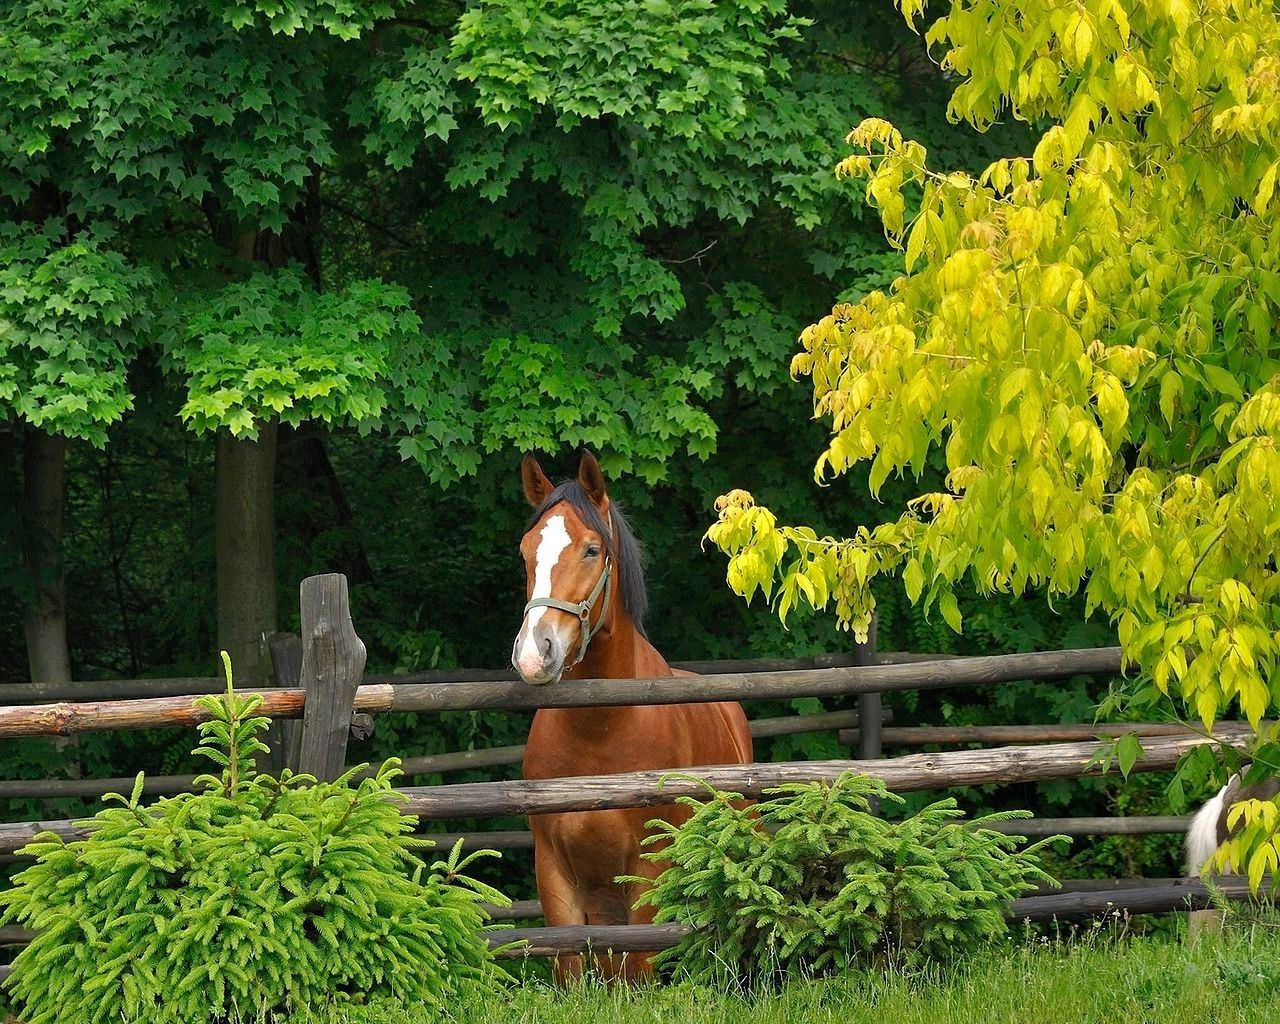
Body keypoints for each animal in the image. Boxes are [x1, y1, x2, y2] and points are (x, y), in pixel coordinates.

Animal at [511, 451, 753, 983]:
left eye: (591, 549)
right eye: (525, 551)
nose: (535, 654)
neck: (601, 729)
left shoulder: (648, 869)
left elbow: (642, 965)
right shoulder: (554, 873)